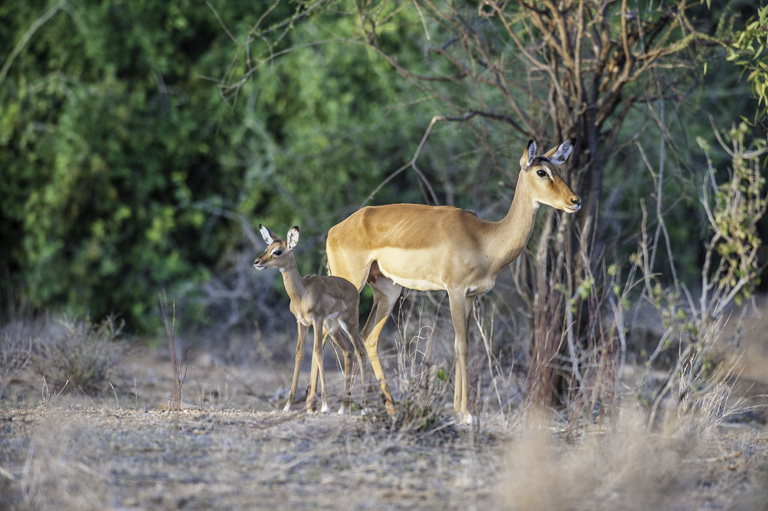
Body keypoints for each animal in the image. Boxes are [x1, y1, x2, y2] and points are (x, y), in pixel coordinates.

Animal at [254, 225, 368, 416]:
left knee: (360, 351)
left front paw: (325, 406)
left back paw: (364, 409)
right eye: (266, 248)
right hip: (333, 328)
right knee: (348, 352)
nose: (257, 262)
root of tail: (353, 288)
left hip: (349, 323)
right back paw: (343, 408)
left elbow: (318, 352)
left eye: (278, 251)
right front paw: (287, 405)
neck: (302, 294)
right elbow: (299, 353)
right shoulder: (301, 323)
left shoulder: (317, 320)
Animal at [326, 139, 584, 424]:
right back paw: (338, 407)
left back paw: (386, 408)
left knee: (367, 336)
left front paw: (461, 410)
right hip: (350, 284)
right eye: (541, 172)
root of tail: (334, 230)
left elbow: (462, 344)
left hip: (388, 292)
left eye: (558, 170)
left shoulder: (470, 295)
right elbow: (462, 345)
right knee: (328, 331)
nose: (575, 201)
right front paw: (467, 413)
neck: (484, 239)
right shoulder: (455, 291)